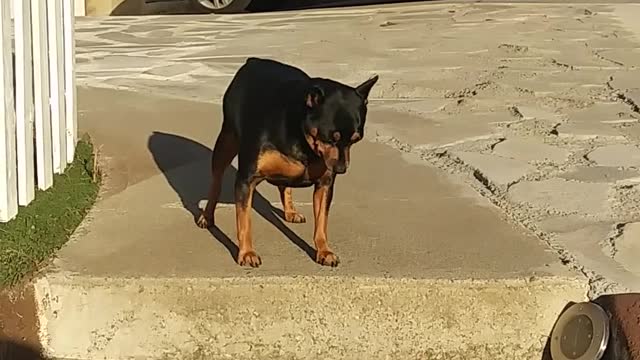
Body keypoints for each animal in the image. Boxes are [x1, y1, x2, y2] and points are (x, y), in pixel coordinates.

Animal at [198, 57, 378, 268]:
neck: (302, 138)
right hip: (227, 141)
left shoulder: (325, 184)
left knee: (285, 185)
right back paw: (207, 216)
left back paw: (290, 211)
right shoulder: (246, 180)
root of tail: (253, 60)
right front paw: (247, 253)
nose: (341, 169)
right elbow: (244, 221)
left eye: (355, 140)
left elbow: (321, 222)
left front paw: (324, 251)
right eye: (329, 139)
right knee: (216, 181)